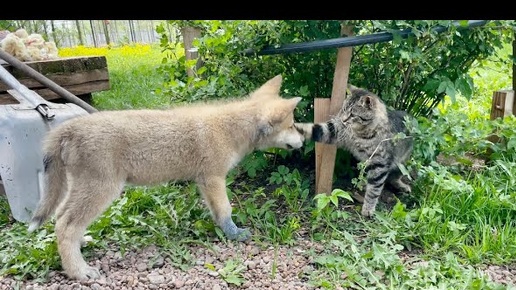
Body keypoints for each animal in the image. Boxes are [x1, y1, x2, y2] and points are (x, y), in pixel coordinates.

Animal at [296, 85, 414, 216]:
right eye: (343, 109)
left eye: (352, 114)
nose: (342, 119)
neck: (360, 134)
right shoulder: (336, 131)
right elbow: (314, 128)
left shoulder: (380, 164)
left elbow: (374, 189)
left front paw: (368, 209)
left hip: (401, 163)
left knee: (395, 177)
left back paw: (402, 186)